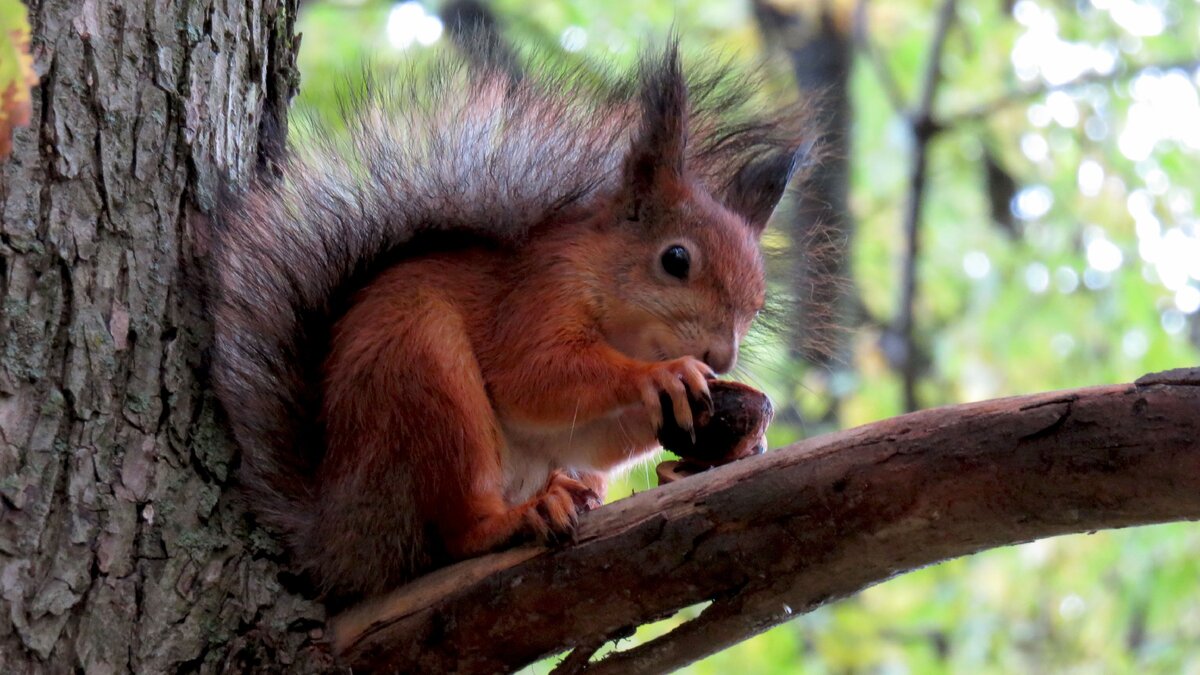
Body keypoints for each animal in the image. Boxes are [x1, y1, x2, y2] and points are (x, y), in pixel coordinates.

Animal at [208, 39, 806, 600]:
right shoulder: (536, 297)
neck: (623, 326)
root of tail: (340, 533)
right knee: (459, 532)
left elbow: (595, 437)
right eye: (676, 260)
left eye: (757, 302)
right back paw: (516, 519)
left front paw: (745, 428)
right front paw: (662, 376)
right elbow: (534, 377)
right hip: (421, 378)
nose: (720, 357)